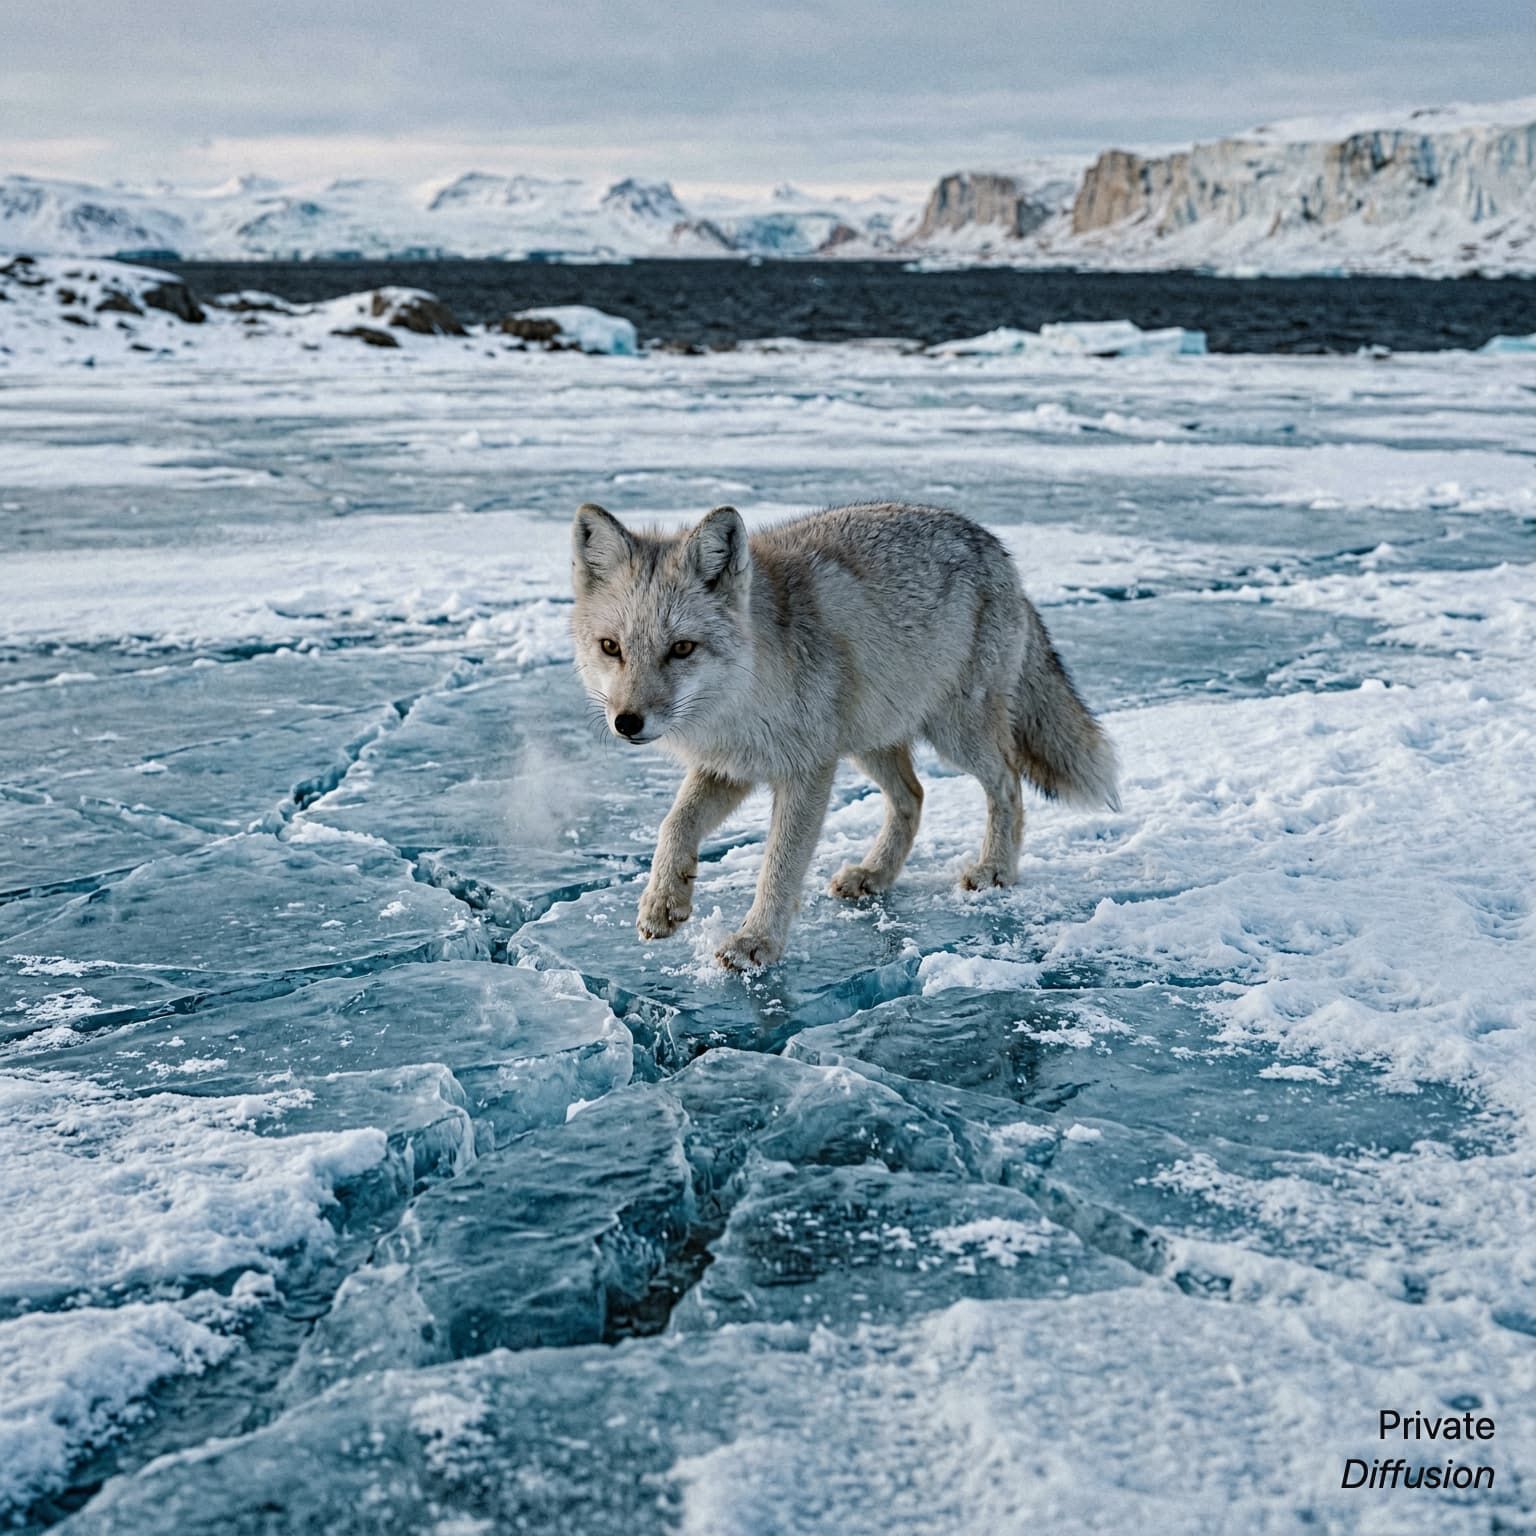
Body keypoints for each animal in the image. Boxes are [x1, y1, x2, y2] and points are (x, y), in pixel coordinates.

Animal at [570, 500, 1120, 972]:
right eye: (611, 647)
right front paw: (663, 902)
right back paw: (875, 875)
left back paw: (996, 870)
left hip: (955, 736)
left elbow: (779, 866)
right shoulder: (728, 765)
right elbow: (675, 824)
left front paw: (756, 942)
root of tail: (998, 550)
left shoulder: (806, 771)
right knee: (914, 796)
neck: (747, 690)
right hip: (868, 744)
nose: (627, 722)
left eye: (682, 648)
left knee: (1007, 784)